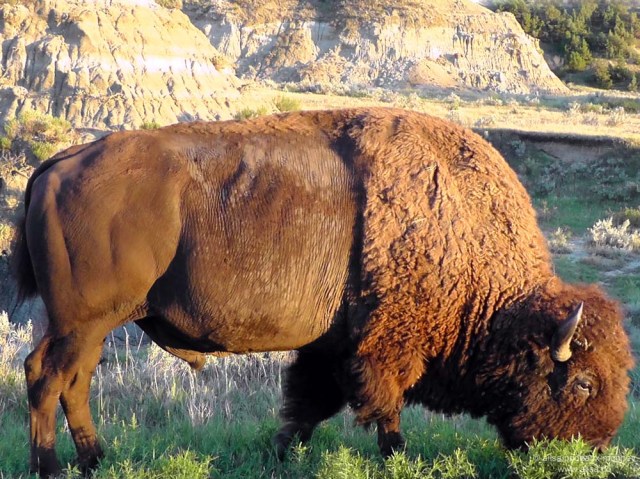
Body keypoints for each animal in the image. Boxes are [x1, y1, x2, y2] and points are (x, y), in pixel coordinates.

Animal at [13, 108, 633, 476]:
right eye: (582, 382)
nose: (592, 452)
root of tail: (59, 163)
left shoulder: (330, 347)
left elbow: (307, 405)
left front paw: (280, 452)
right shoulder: (385, 347)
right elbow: (384, 411)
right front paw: (395, 458)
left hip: (91, 325)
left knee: (72, 382)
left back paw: (94, 460)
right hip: (83, 321)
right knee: (46, 376)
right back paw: (51, 466)